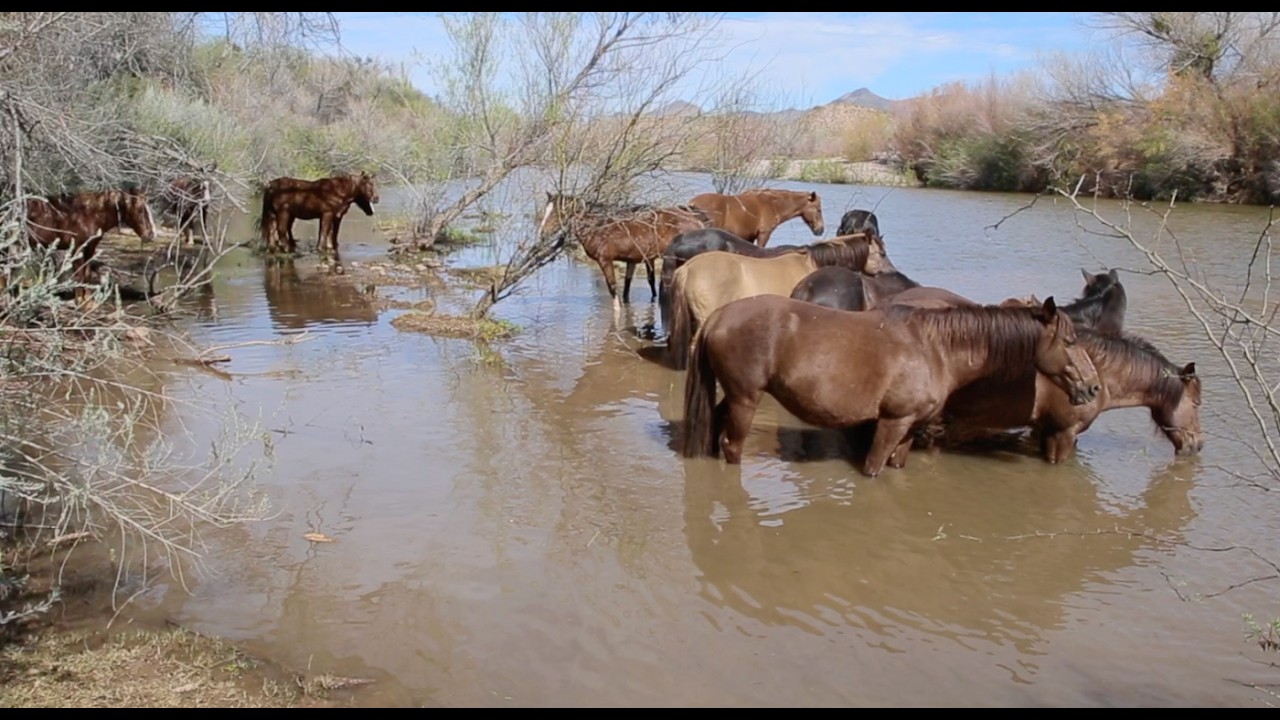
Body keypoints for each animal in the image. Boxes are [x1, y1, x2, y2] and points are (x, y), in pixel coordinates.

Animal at [16, 189, 158, 301]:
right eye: (140, 210)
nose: (151, 234)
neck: (88, 215)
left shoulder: (90, 249)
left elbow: (87, 274)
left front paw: (88, 301)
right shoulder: (77, 249)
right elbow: (79, 275)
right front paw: (79, 301)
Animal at [538, 192, 709, 308]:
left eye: (555, 212)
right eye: (546, 210)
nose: (543, 233)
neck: (598, 227)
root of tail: (696, 222)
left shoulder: (605, 261)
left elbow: (613, 288)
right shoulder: (632, 260)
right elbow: (627, 289)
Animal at [680, 294, 1101, 477]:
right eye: (1070, 341)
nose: (1093, 388)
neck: (935, 349)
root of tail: (719, 315)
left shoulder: (910, 427)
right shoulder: (892, 423)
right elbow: (873, 469)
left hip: (734, 396)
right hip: (746, 399)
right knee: (732, 446)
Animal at [686, 189, 825, 248]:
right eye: (819, 209)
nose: (820, 230)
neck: (771, 204)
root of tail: (691, 203)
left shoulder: (749, 237)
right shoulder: (764, 234)